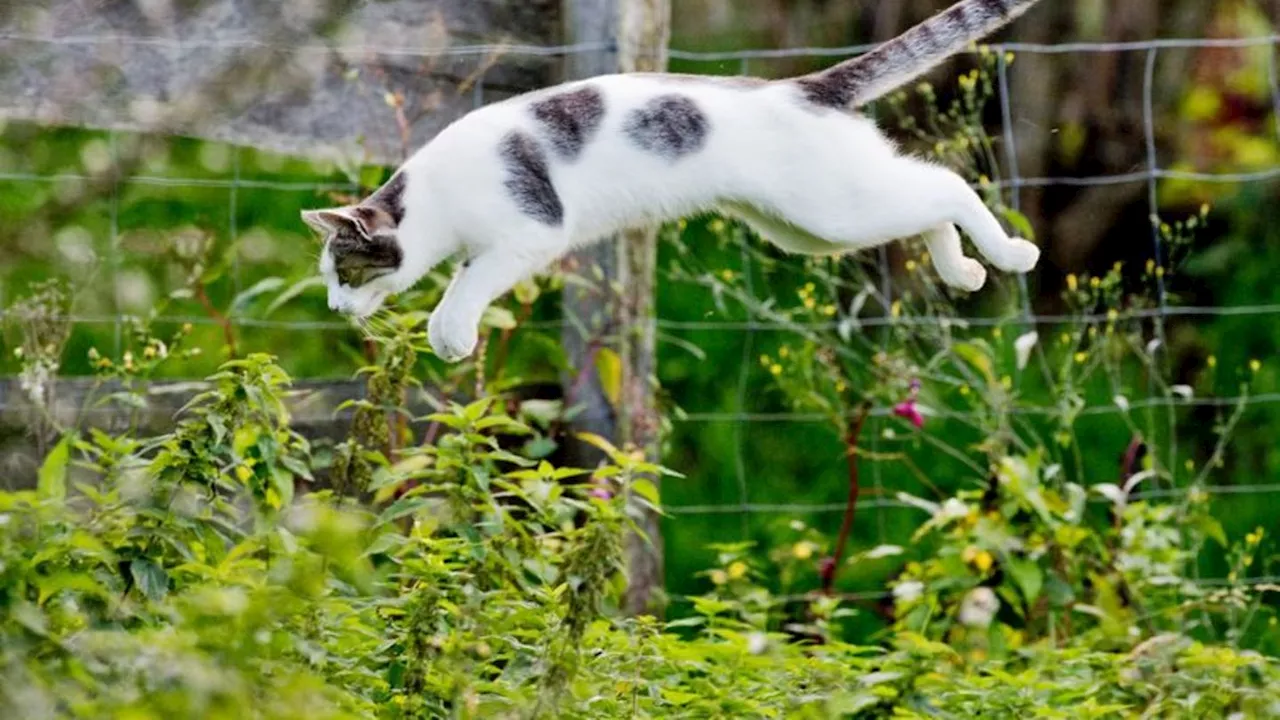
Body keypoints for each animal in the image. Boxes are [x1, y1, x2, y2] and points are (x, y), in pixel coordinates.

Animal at [304, 0, 1044, 361]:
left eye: (348, 273)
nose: (336, 309)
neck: (434, 200)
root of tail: (803, 87)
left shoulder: (528, 234)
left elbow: (462, 289)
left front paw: (452, 336)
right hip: (810, 228)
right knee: (926, 196)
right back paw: (964, 272)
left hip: (833, 209)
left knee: (948, 184)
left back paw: (1010, 254)